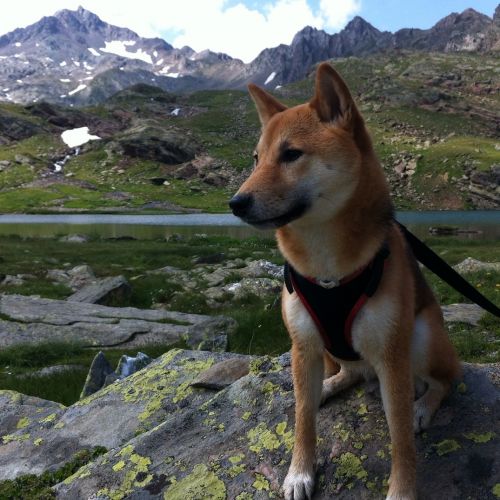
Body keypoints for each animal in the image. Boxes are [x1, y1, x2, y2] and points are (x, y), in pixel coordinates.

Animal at [229, 63, 458, 500]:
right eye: (255, 158)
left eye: (291, 154)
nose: (235, 203)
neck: (326, 268)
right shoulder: (302, 344)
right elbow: (302, 421)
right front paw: (299, 473)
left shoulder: (391, 353)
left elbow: (400, 438)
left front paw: (402, 490)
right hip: (330, 350)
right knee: (345, 374)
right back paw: (325, 387)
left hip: (421, 337)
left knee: (446, 380)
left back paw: (422, 406)